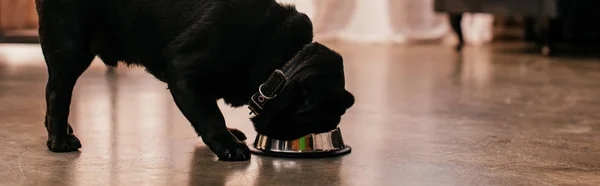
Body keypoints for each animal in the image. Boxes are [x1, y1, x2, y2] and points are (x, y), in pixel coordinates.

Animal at [35, 0, 354, 161]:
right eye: (312, 118)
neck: (280, 59)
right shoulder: (184, 71)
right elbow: (210, 116)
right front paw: (228, 145)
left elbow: (210, 110)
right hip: (71, 47)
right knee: (56, 92)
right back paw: (60, 139)